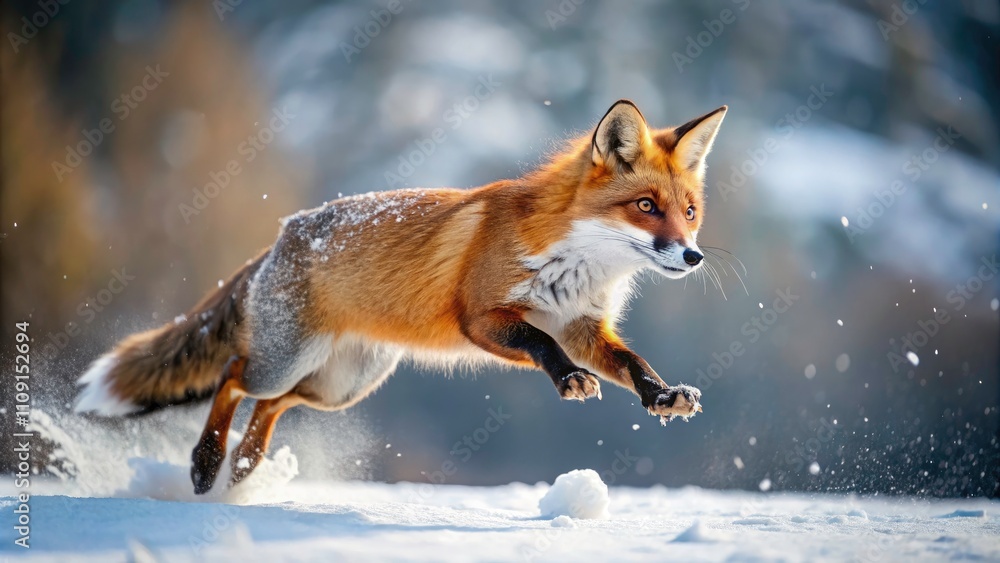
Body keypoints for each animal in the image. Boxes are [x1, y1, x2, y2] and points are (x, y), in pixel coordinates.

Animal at [75, 100, 727, 494]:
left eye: (690, 212)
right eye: (646, 207)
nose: (692, 256)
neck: (579, 266)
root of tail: (282, 234)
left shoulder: (584, 328)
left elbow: (633, 362)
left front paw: (662, 395)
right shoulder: (483, 318)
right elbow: (541, 344)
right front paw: (568, 380)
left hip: (340, 386)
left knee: (272, 405)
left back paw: (244, 467)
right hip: (286, 363)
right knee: (235, 377)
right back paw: (208, 461)